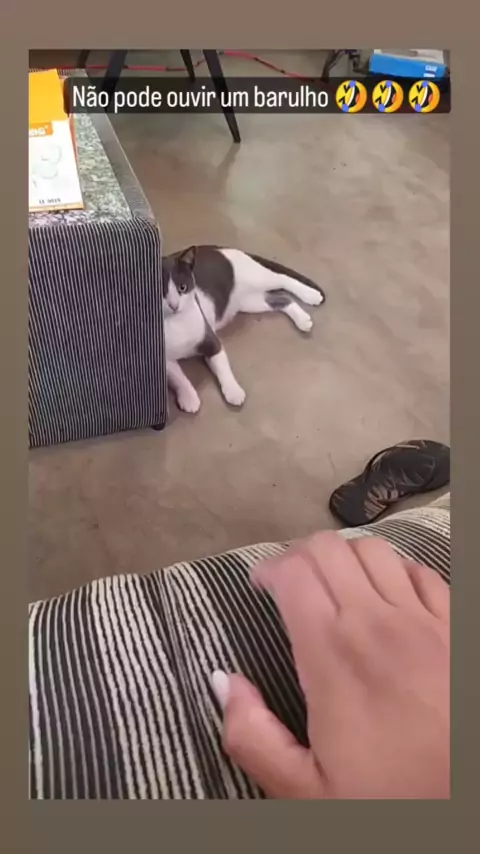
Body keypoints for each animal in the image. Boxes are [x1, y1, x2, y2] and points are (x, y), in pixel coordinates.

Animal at [162, 245, 325, 413]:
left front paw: (233, 391)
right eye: (161, 292)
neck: (177, 322)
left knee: (283, 279)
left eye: (182, 287)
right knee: (281, 299)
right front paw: (189, 397)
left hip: (256, 278)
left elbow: (223, 368)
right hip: (249, 302)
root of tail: (218, 247)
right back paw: (302, 319)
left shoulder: (212, 342)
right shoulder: (163, 359)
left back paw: (311, 295)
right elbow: (178, 377)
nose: (174, 305)